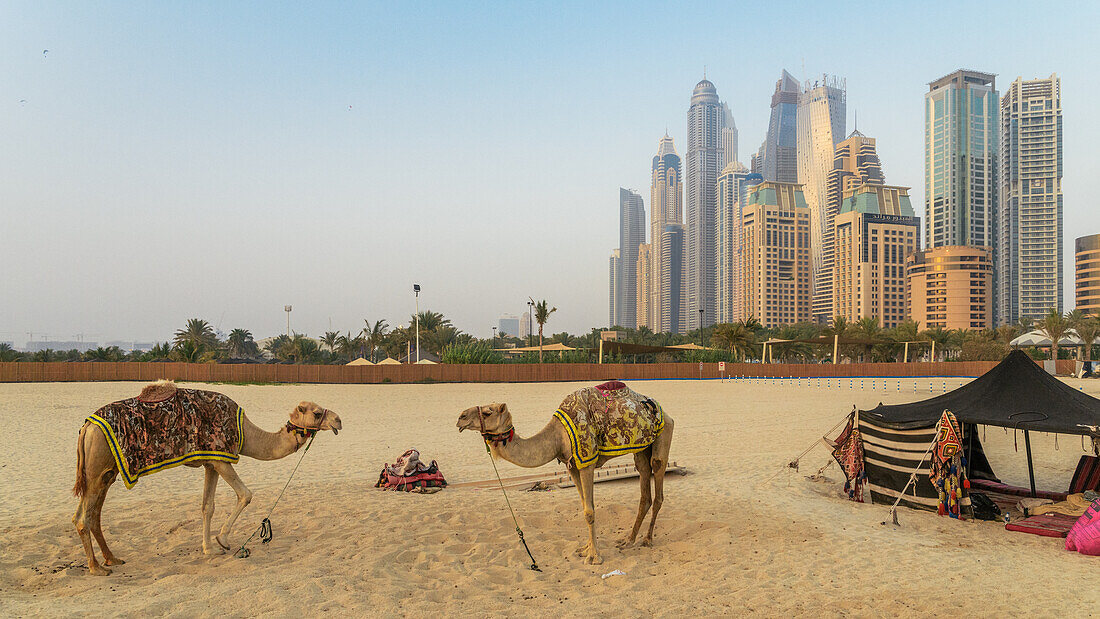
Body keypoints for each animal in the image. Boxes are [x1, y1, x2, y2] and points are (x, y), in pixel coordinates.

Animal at [71, 384, 341, 580]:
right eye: (317, 413)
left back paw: (112, 559)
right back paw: (97, 568)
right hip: (96, 469)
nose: (338, 420)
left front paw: (209, 548)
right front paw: (223, 540)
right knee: (84, 517)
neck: (246, 433)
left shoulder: (211, 461)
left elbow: (207, 506)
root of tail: (86, 427)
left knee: (92, 515)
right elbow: (246, 494)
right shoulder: (222, 458)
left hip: (106, 472)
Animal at [455, 384, 668, 567]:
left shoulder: (587, 461)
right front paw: (585, 549)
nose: (460, 417)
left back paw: (647, 540)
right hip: (641, 450)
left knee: (658, 484)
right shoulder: (571, 466)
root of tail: (660, 408)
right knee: (644, 487)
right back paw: (628, 541)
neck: (557, 437)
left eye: (488, 412)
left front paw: (594, 557)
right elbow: (585, 506)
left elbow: (589, 512)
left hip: (664, 433)